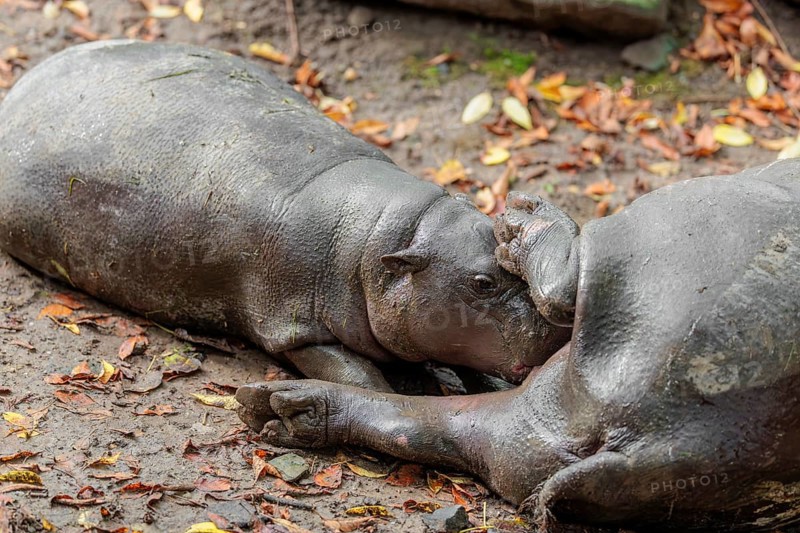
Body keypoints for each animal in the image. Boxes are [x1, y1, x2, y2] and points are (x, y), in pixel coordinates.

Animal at [0, 40, 569, 390]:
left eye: (510, 255)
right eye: (481, 283)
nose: (559, 330)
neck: (381, 241)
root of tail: (22, 86)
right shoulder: (293, 324)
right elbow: (360, 378)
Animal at [236, 159, 800, 531]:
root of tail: (657, 437)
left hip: (671, 236)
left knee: (562, 287)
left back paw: (528, 217)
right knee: (448, 425)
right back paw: (283, 411)